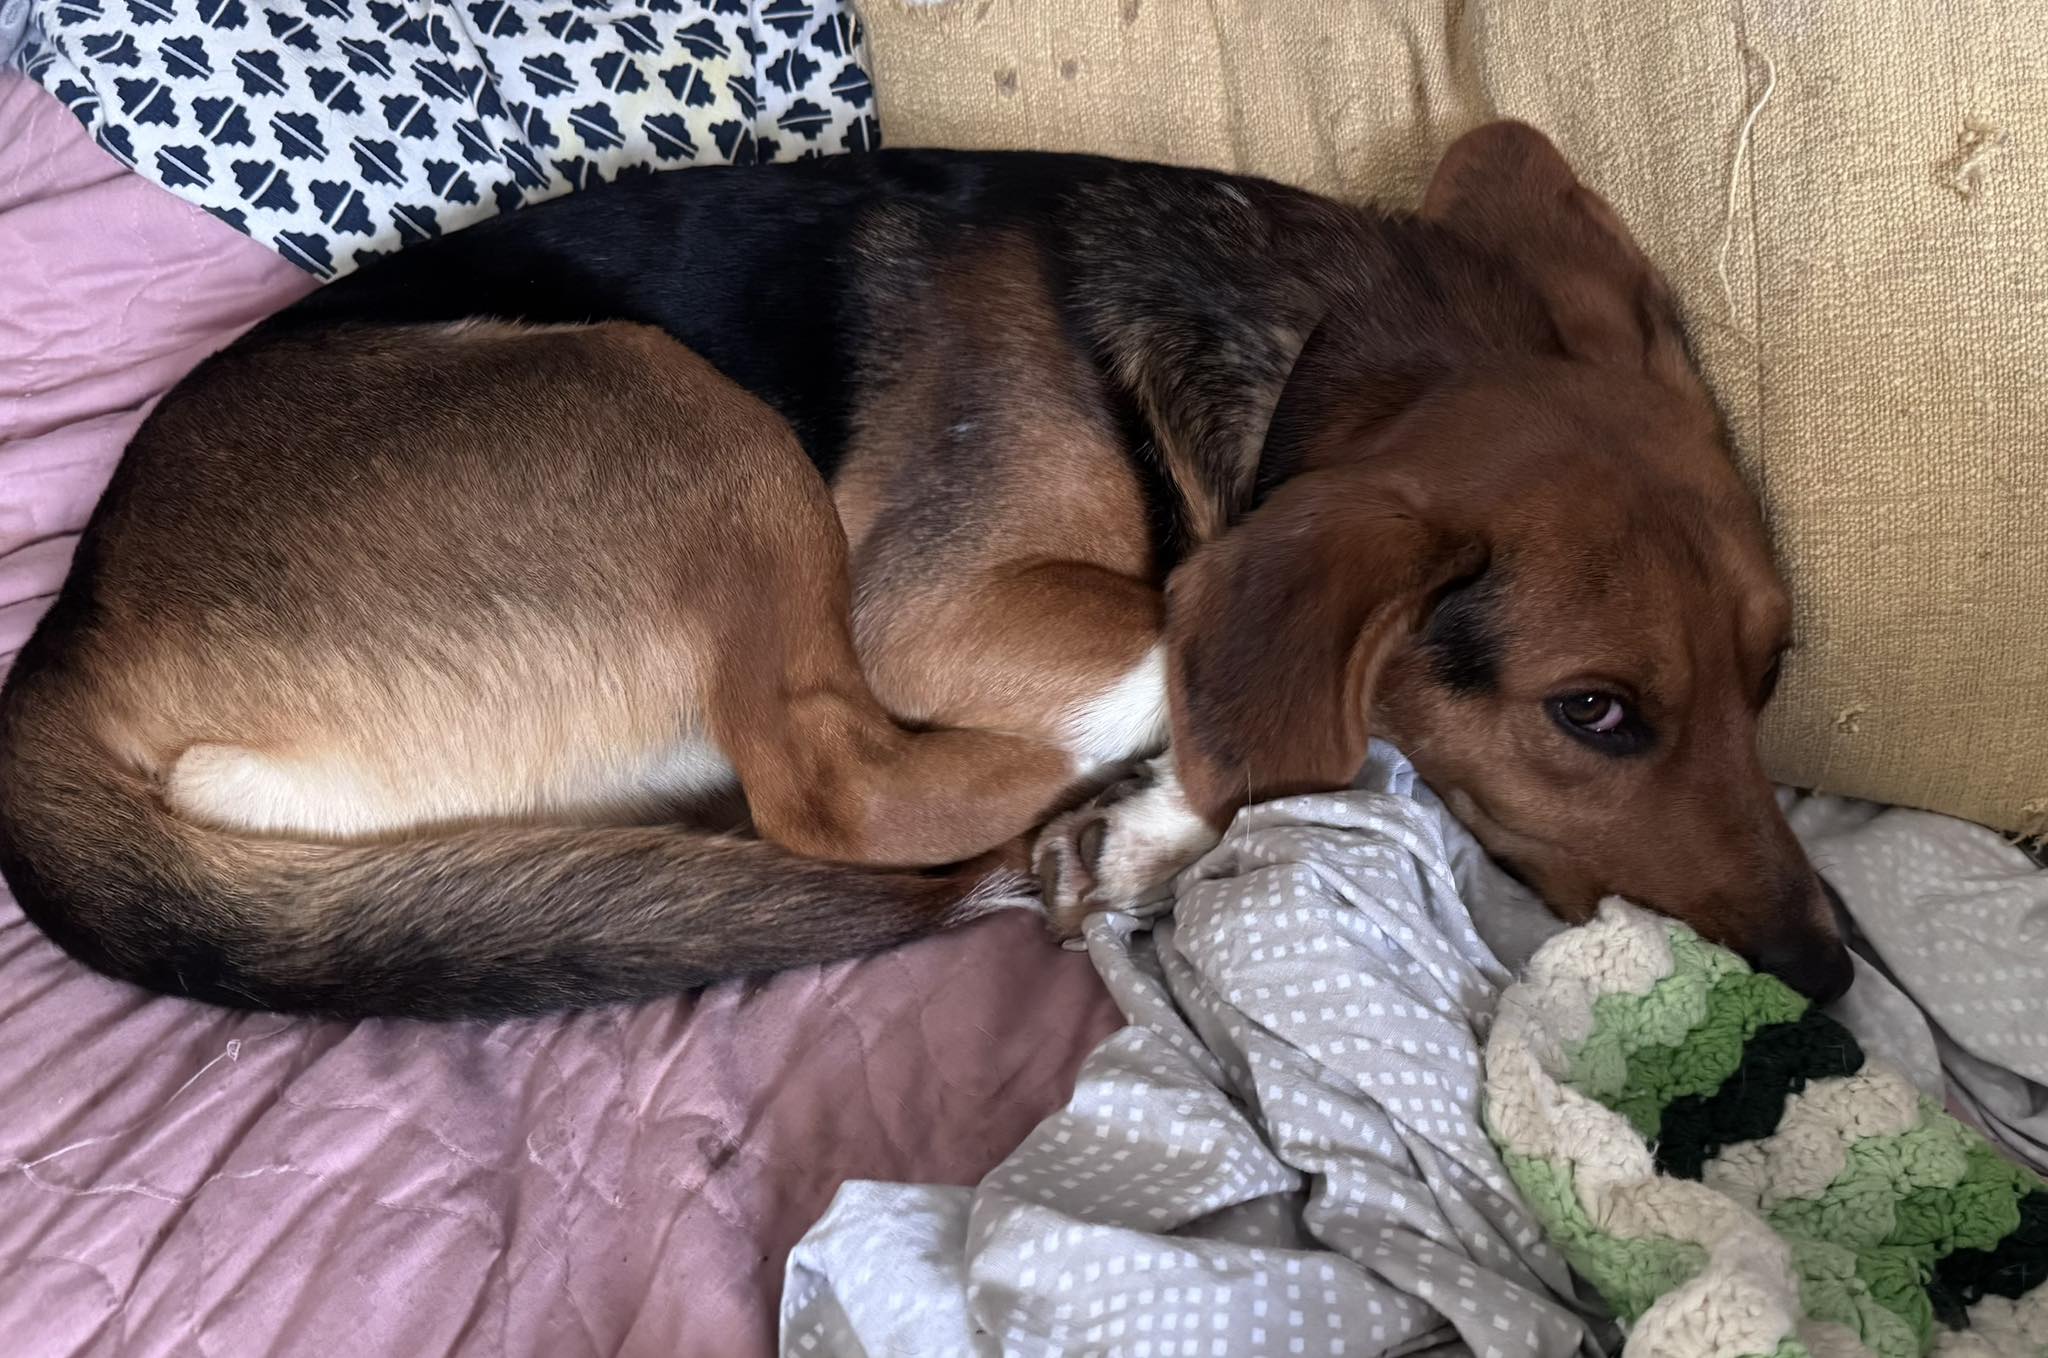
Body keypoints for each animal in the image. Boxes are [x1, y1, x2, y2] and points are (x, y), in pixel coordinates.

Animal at [0, 122, 1854, 1018]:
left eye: (1769, 681)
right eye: (1595, 712)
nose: (1835, 975)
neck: (1299, 353)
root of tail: (65, 641)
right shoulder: (932, 607)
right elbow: (1214, 649)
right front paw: (1168, 787)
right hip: (672, 406)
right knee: (828, 778)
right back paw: (1084, 827)